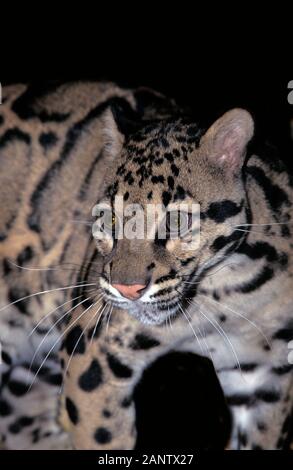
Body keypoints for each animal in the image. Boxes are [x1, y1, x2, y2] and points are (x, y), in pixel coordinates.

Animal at [0, 82, 290, 450]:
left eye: (177, 221)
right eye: (108, 218)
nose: (127, 289)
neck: (233, 291)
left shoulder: (267, 373)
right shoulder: (91, 351)